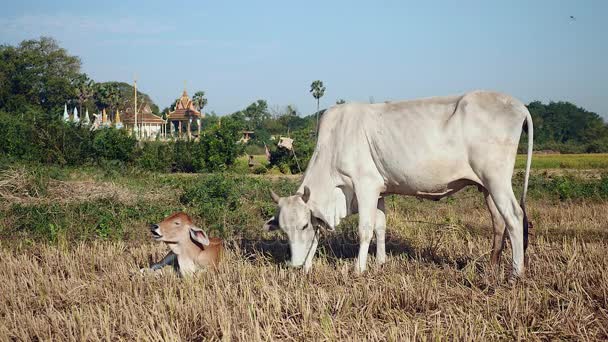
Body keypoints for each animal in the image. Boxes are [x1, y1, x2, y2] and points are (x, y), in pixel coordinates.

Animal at [262, 91, 532, 280]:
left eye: (303, 225)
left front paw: (359, 268)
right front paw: (380, 262)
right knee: (499, 222)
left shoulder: (365, 186)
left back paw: (516, 272)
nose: (295, 264)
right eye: (283, 230)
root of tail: (519, 105)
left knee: (515, 216)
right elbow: (380, 227)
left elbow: (365, 229)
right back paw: (493, 266)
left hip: (497, 180)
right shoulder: (380, 191)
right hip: (487, 186)